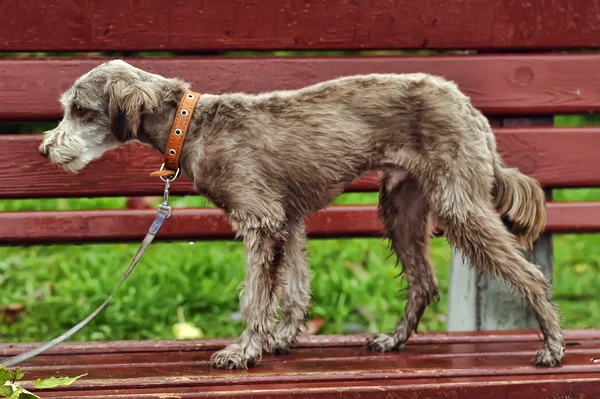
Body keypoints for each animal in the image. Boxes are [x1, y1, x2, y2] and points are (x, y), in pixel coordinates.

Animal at [39, 60, 564, 372]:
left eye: (80, 110)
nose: (45, 149)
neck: (191, 126)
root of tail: (468, 106)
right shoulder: (287, 221)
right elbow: (293, 289)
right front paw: (280, 340)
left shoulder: (261, 220)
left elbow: (256, 295)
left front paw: (244, 350)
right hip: (400, 207)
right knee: (423, 282)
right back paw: (393, 341)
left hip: (459, 205)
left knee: (530, 274)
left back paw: (552, 345)